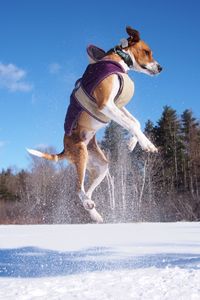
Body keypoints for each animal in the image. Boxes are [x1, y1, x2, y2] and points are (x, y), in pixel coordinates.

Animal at [27, 26, 162, 223]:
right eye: (147, 52)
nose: (161, 67)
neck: (119, 58)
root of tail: (65, 150)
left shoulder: (117, 105)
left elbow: (135, 122)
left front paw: (132, 143)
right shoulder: (106, 105)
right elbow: (132, 124)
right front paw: (147, 145)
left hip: (101, 167)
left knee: (87, 192)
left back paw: (94, 212)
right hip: (82, 154)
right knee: (78, 189)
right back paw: (88, 204)